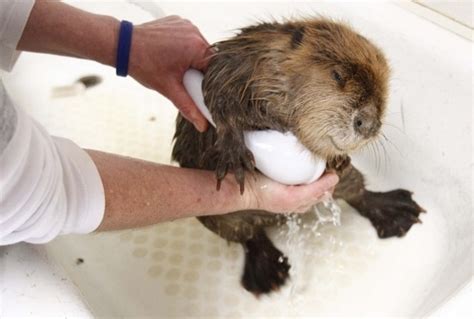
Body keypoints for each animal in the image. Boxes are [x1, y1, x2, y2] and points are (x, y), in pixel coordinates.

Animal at [172, 18, 424, 298]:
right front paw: (234, 154)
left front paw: (337, 160)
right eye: (337, 75)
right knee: (247, 235)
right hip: (219, 217)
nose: (368, 124)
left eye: (385, 84)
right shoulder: (238, 60)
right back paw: (269, 274)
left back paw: (398, 211)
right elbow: (216, 92)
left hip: (349, 183)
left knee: (357, 192)